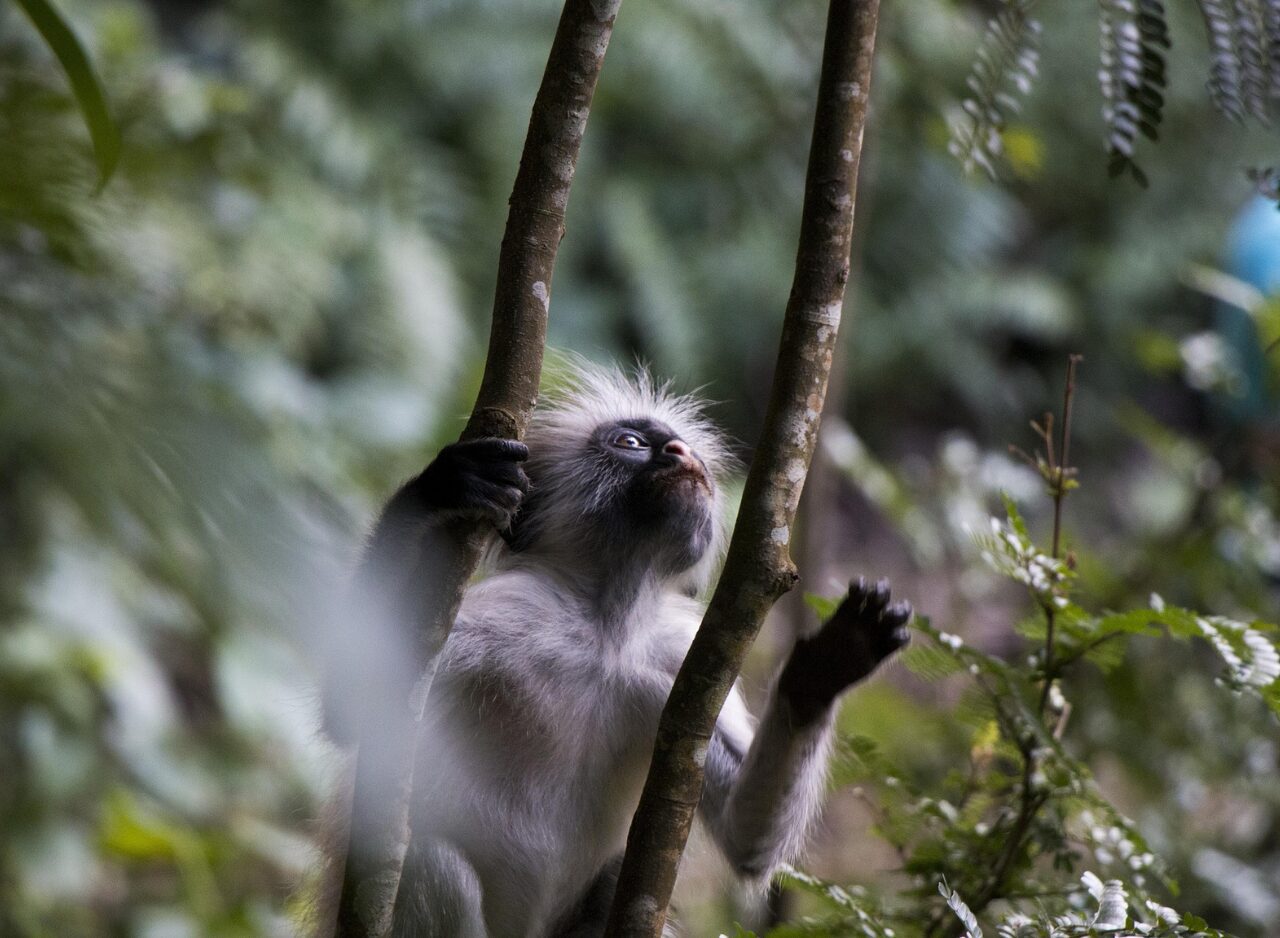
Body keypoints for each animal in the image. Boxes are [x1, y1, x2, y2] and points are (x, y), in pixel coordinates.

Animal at [322, 363, 912, 938]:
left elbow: (746, 841)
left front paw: (826, 667)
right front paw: (440, 487)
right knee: (431, 865)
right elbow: (351, 707)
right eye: (630, 442)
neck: (608, 632)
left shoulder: (678, 654)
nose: (679, 453)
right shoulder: (508, 612)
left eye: (682, 447)